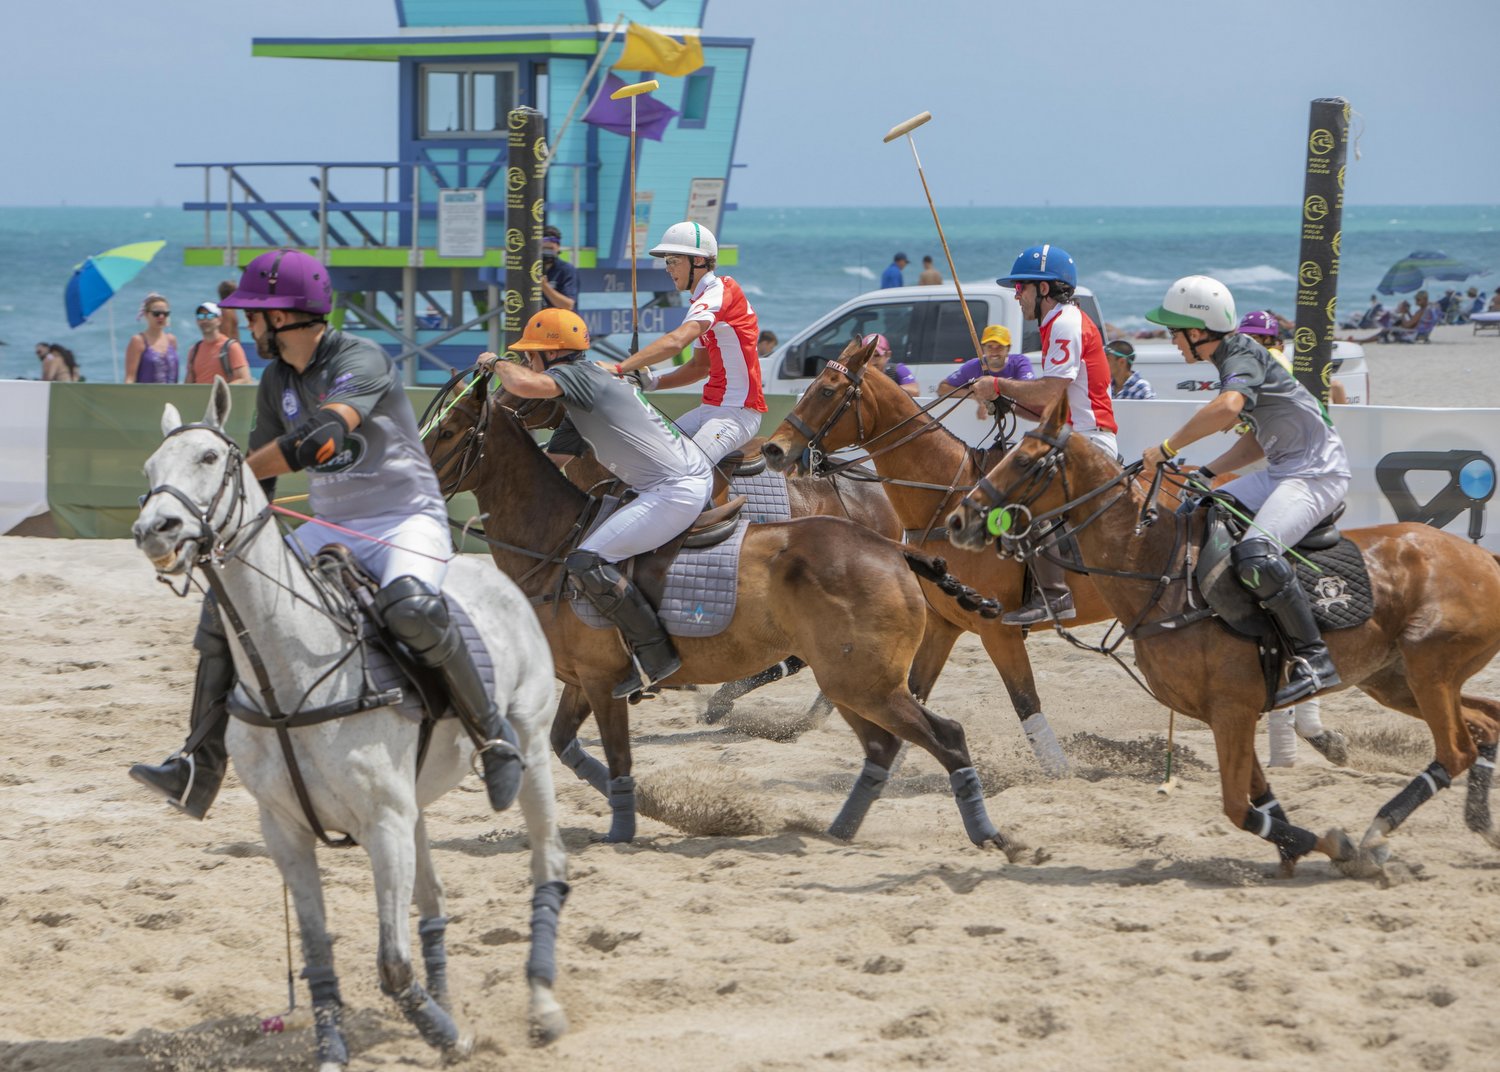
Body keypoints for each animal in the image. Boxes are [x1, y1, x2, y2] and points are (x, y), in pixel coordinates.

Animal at [135, 382, 570, 1067]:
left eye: (208, 457)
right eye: (150, 471)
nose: (156, 529)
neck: (290, 679)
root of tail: (491, 571)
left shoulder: (383, 826)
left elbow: (391, 961)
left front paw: (450, 1036)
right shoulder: (287, 831)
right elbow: (319, 951)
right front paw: (337, 1046)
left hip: (529, 747)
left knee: (547, 860)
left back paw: (542, 1005)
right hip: (414, 802)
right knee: (434, 900)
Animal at [429, 373, 1026, 857]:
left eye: (448, 431)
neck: (554, 541)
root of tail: (894, 548)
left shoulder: (601, 681)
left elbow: (617, 758)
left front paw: (623, 830)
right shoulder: (585, 680)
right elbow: (564, 747)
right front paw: (653, 807)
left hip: (867, 682)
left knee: (945, 736)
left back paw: (990, 835)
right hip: (851, 680)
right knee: (883, 745)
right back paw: (837, 830)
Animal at [768, 340, 1122, 773]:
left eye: (827, 390)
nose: (772, 449)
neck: (946, 498)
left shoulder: (997, 629)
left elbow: (1025, 700)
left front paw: (1058, 773)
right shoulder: (942, 625)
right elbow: (915, 694)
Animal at [942, 398, 1500, 875]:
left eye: (1024, 461)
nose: (958, 519)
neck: (1158, 568)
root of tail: (1485, 558)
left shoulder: (1232, 709)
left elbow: (1236, 807)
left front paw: (1341, 848)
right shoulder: (1231, 712)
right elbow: (1261, 802)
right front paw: (1305, 851)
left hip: (1428, 668)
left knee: (1456, 750)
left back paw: (1377, 834)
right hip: (1394, 679)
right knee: (1485, 724)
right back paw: (1480, 827)